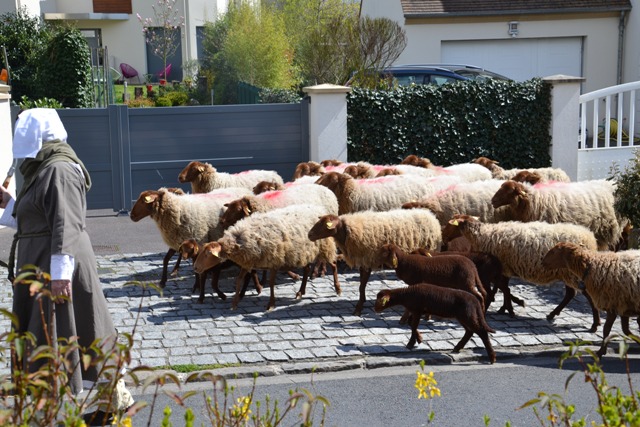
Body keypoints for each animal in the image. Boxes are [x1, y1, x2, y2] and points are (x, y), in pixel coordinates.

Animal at [192, 204, 340, 310]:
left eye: (207, 254)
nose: (195, 268)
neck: (239, 240)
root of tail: (318, 208)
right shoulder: (247, 261)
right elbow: (239, 280)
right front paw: (234, 303)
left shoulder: (274, 260)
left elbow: (271, 283)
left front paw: (271, 304)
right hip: (305, 252)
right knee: (307, 269)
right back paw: (300, 292)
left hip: (325, 247)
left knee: (333, 265)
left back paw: (338, 289)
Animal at [308, 209, 442, 316]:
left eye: (324, 225)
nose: (309, 235)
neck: (347, 232)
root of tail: (430, 215)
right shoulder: (363, 262)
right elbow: (361, 285)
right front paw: (362, 301)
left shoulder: (368, 260)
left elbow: (362, 285)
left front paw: (358, 309)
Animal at [442, 216, 604, 332]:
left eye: (451, 224)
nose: (443, 239)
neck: (482, 234)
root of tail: (590, 240)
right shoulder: (503, 268)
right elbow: (503, 288)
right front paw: (506, 307)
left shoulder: (502, 267)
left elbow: (502, 288)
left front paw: (508, 307)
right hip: (567, 273)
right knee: (570, 294)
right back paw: (552, 314)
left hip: (572, 274)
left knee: (586, 295)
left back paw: (595, 324)